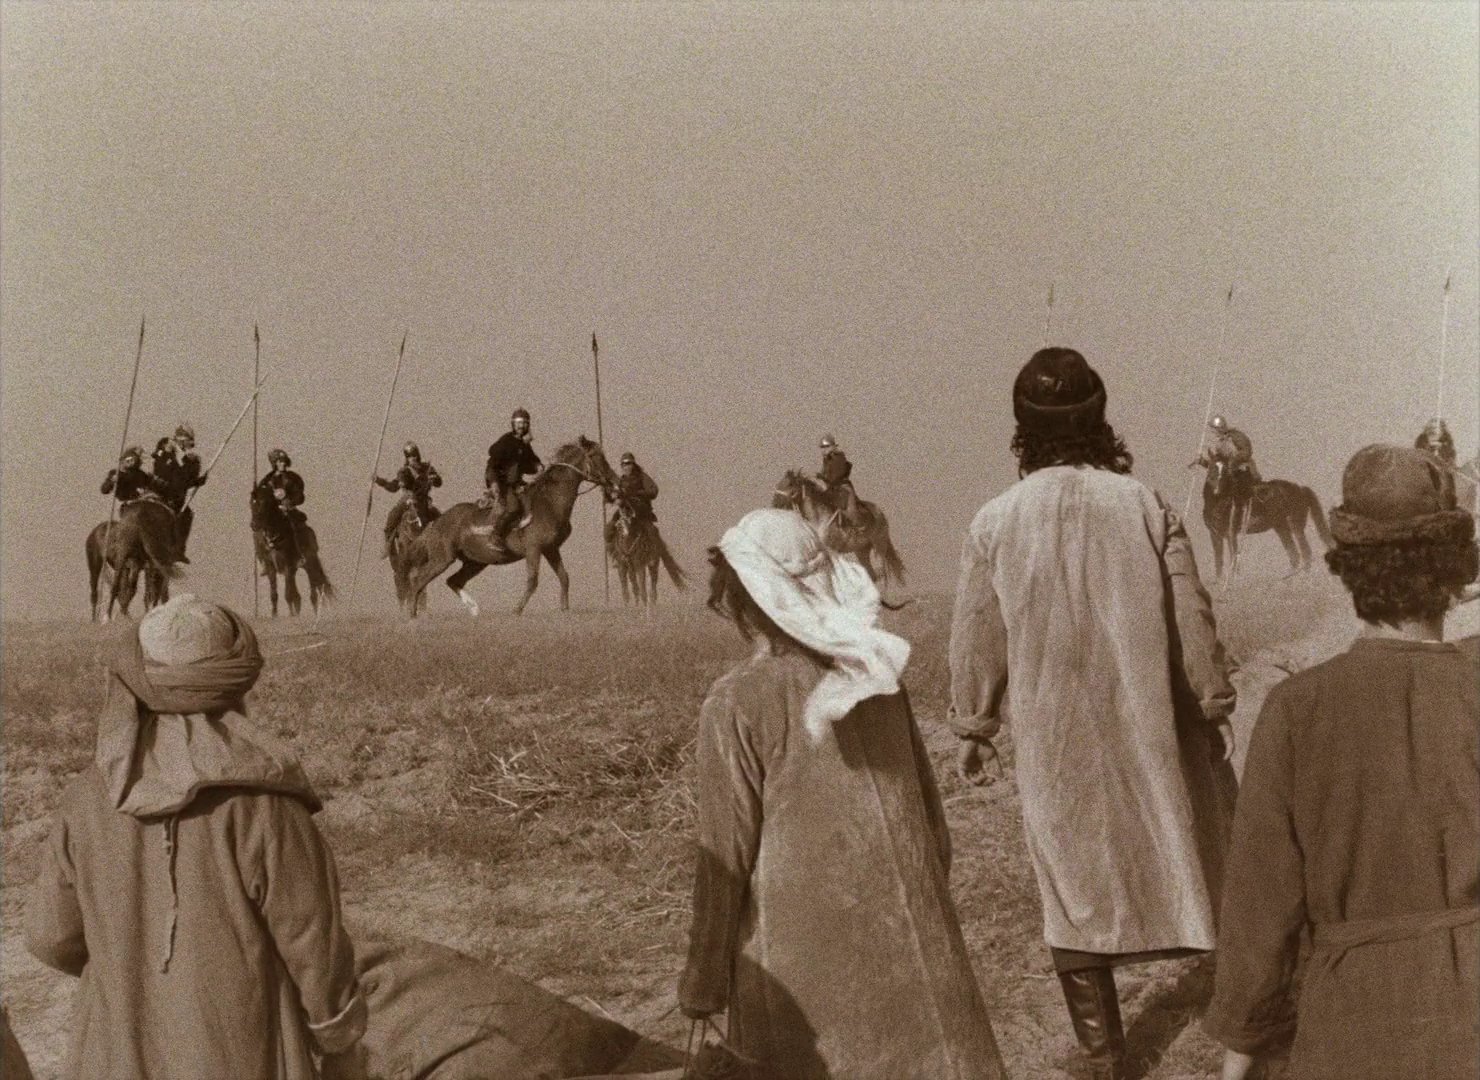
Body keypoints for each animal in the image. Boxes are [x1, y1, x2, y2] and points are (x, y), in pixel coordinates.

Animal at [250, 488, 335, 617]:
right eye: (251, 503)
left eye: (264, 503)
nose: (254, 525)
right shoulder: (272, 568)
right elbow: (274, 594)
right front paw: (274, 615)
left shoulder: (288, 566)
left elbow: (288, 594)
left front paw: (292, 616)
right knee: (297, 595)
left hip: (309, 564)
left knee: (312, 593)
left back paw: (313, 613)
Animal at [401, 436, 617, 618]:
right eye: (596, 456)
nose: (614, 483)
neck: (550, 501)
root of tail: (435, 523)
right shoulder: (534, 550)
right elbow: (532, 581)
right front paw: (517, 609)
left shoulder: (551, 549)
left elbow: (564, 577)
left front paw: (564, 608)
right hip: (443, 559)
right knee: (419, 580)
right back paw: (412, 615)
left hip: (475, 562)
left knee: (453, 581)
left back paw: (474, 609)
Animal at [772, 470, 906, 586]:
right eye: (780, 483)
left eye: (789, 484)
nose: (774, 503)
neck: (820, 518)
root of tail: (880, 513)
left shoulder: (830, 552)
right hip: (861, 551)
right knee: (872, 575)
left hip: (879, 547)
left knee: (882, 575)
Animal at [1201, 459, 1333, 583]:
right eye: (1211, 470)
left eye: (1226, 472)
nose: (1217, 490)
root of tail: (1300, 489)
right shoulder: (1215, 535)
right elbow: (1218, 560)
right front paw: (1219, 581)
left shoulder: (1231, 534)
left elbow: (1233, 557)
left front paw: (1233, 581)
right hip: (1282, 527)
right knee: (1294, 554)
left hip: (1295, 526)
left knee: (1305, 552)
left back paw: (1303, 578)